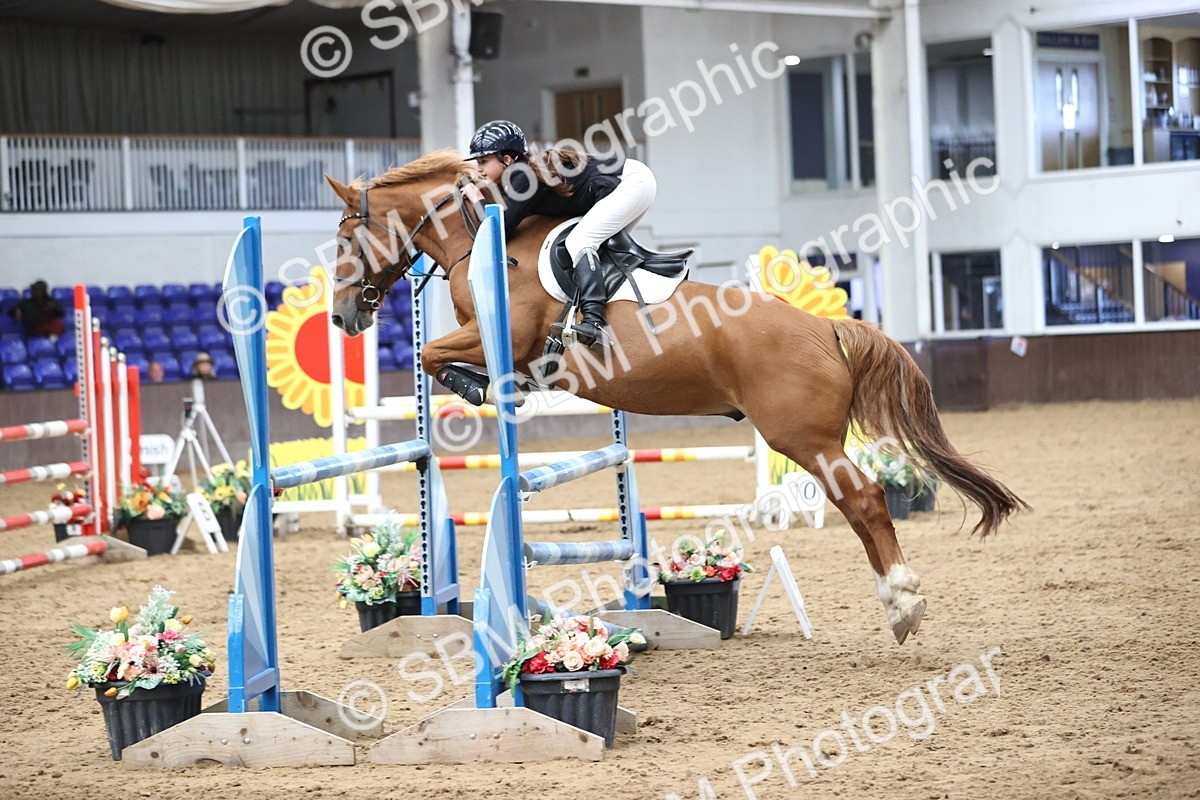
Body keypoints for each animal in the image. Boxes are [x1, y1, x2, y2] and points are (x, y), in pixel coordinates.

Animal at [324, 149, 1028, 644]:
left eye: (345, 240)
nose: (341, 319)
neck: (482, 228)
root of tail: (823, 326)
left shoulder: (507, 336)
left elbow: (431, 355)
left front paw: (483, 388)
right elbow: (433, 355)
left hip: (802, 437)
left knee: (864, 500)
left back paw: (903, 604)